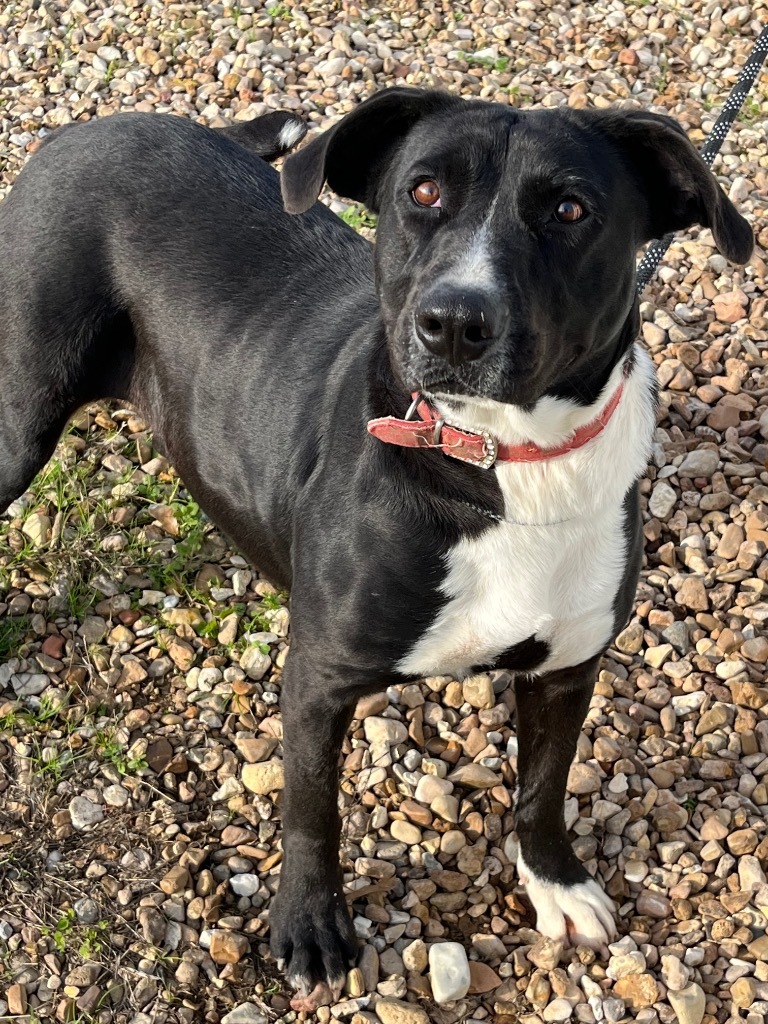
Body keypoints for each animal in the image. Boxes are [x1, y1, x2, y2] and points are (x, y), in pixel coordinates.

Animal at [0, 90, 753, 1015]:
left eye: (571, 210)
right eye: (422, 192)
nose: (455, 322)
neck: (499, 464)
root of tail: (92, 129)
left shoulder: (569, 665)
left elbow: (544, 787)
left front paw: (555, 882)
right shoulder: (319, 678)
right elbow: (311, 810)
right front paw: (309, 926)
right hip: (19, 413)